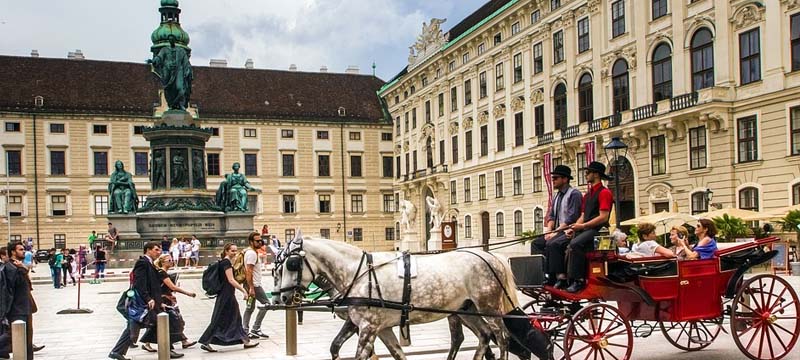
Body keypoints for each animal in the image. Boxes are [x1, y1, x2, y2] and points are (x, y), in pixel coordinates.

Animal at [276, 238, 520, 358]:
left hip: (489, 307)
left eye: (292, 263)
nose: (284, 298)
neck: (358, 272)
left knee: (502, 338)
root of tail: (491, 255)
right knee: (484, 335)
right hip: (466, 309)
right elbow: (337, 347)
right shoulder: (376, 326)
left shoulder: (369, 327)